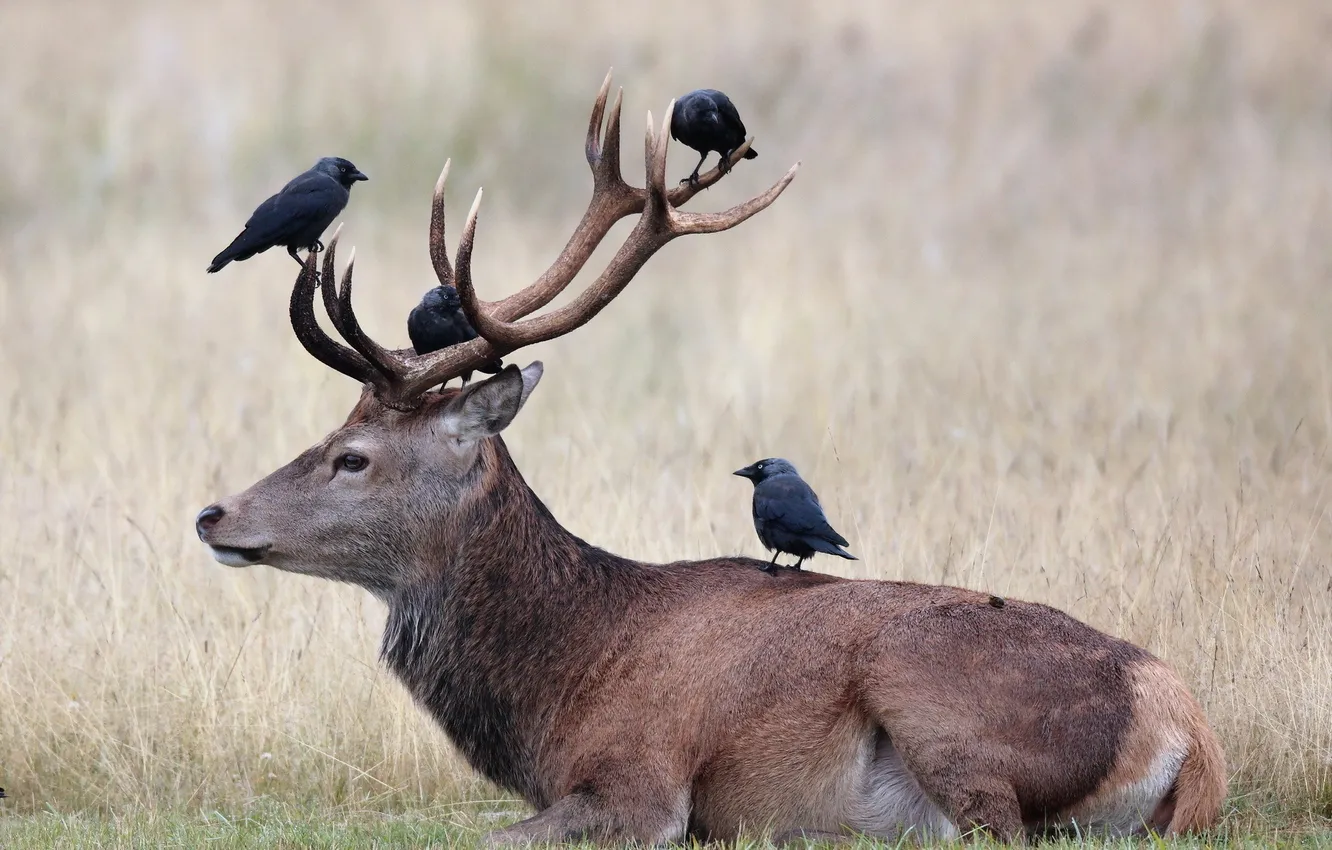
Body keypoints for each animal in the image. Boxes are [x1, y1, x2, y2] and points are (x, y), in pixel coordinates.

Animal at [195, 71, 1226, 845]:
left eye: (353, 458)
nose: (212, 514)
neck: (557, 686)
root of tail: (1185, 724)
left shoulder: (643, 780)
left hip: (940, 703)